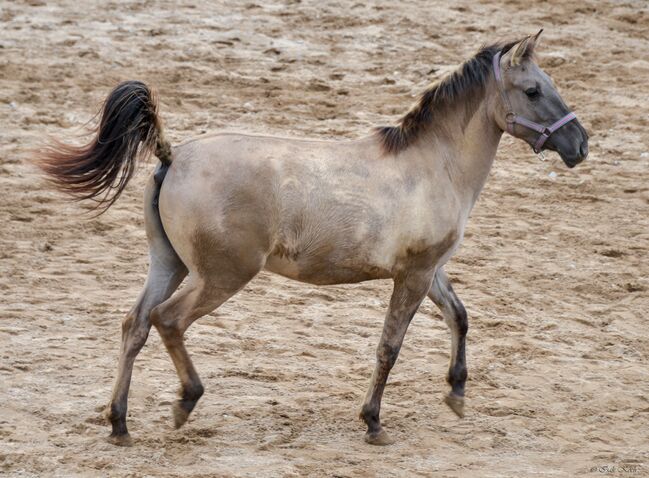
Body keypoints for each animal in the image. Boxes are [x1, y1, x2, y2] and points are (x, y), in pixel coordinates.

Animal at [38, 31, 588, 446]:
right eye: (533, 90)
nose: (580, 144)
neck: (434, 165)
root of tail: (172, 155)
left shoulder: (430, 270)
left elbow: (459, 316)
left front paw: (456, 395)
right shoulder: (412, 275)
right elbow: (390, 346)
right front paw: (373, 423)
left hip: (169, 264)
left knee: (135, 325)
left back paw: (119, 423)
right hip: (221, 275)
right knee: (167, 320)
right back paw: (185, 403)